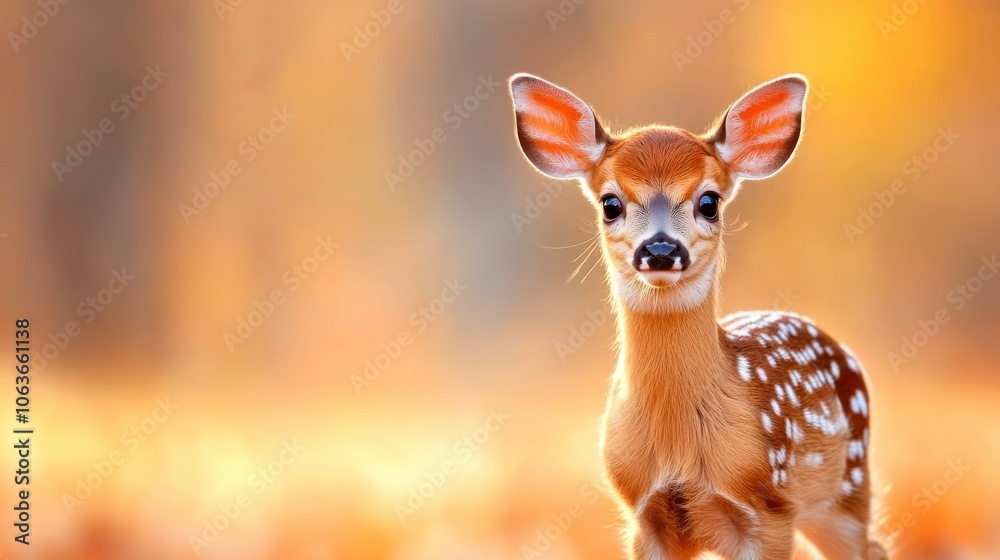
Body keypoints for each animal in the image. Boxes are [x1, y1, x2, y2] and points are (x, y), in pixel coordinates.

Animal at [507, 73, 887, 560]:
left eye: (709, 202)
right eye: (611, 203)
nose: (660, 249)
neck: (678, 446)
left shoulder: (772, 510)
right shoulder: (644, 516)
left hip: (848, 487)